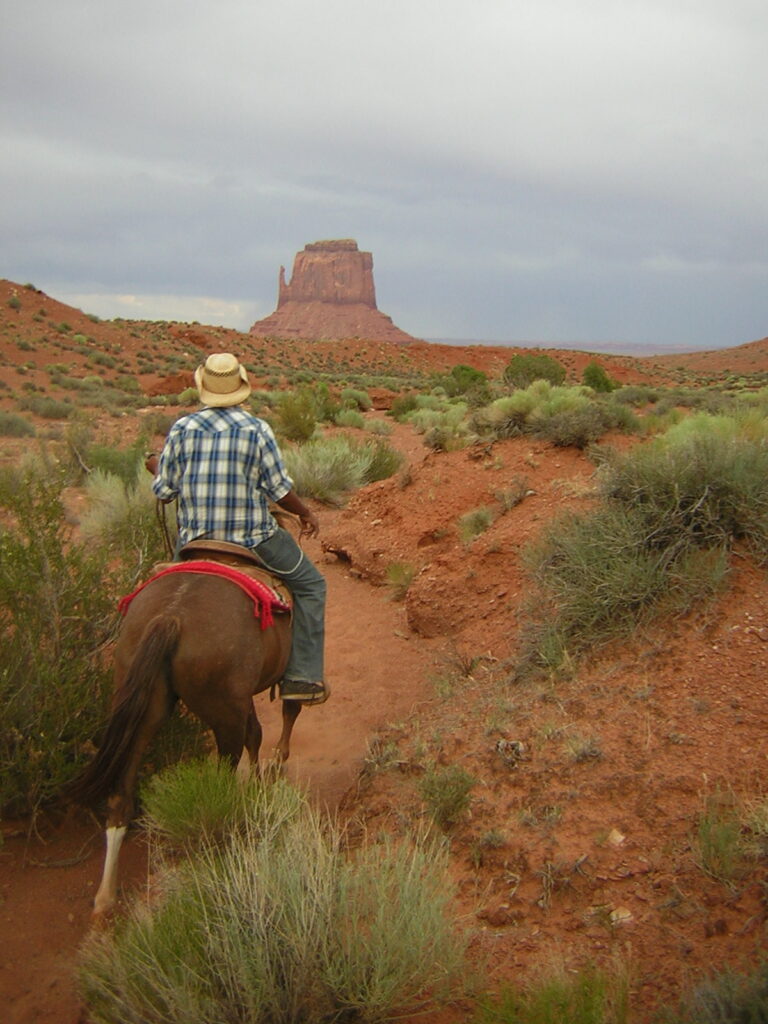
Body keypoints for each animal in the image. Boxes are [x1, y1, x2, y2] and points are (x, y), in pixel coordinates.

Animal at [67, 565, 296, 917]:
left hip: (142, 707)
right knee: (220, 789)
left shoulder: (241, 699)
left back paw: (106, 897)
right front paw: (272, 769)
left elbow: (256, 733)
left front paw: (261, 781)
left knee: (121, 798)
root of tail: (170, 616)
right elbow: (282, 713)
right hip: (221, 712)